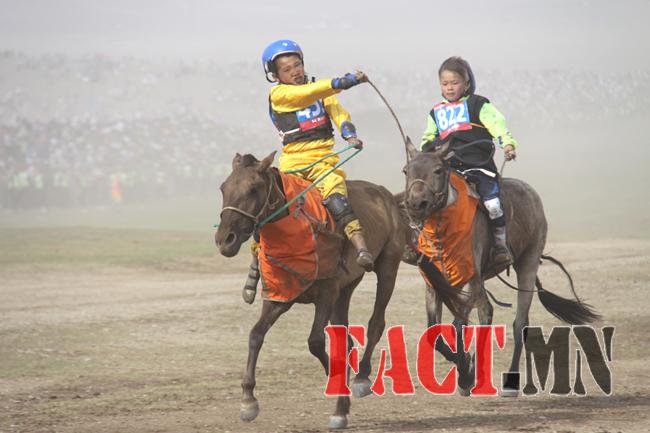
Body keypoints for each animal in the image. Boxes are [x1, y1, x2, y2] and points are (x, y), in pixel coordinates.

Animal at [215, 151, 409, 429]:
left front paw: (339, 392)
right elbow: (255, 335)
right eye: (223, 188)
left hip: (387, 267)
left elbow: (315, 342)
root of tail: (387, 195)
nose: (224, 240)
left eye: (253, 189)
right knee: (345, 338)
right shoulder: (280, 297)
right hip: (346, 288)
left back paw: (361, 378)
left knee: (376, 322)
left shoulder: (326, 294)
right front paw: (248, 402)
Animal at [402, 139, 600, 396]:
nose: (415, 205)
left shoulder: (472, 279)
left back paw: (510, 381)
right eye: (406, 171)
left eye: (437, 170)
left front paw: (465, 373)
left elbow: (459, 323)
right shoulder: (436, 284)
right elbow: (434, 332)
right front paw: (466, 368)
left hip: (528, 263)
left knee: (519, 323)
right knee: (486, 313)